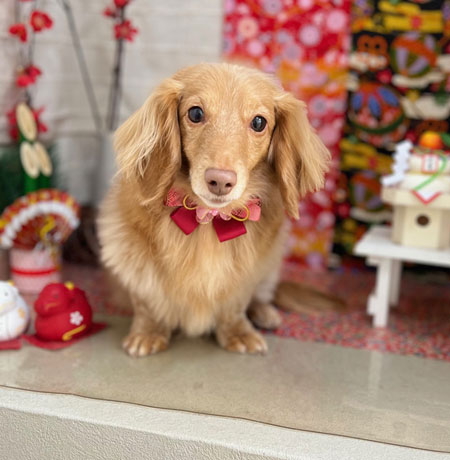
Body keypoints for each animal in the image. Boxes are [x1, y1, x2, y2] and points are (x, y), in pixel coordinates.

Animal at [98, 63, 330, 357]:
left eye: (259, 122)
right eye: (195, 113)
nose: (220, 181)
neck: (208, 218)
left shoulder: (247, 274)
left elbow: (235, 305)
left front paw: (238, 332)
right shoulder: (131, 257)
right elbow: (148, 301)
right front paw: (148, 332)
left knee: (263, 295)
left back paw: (265, 313)